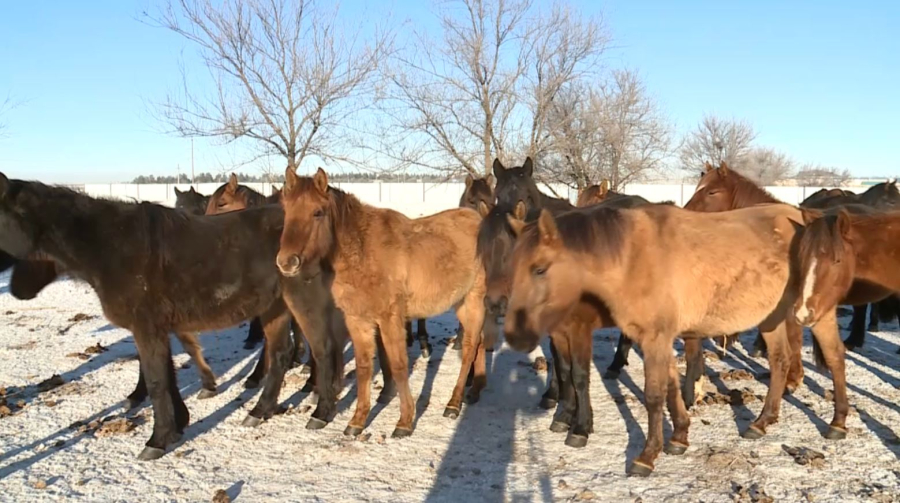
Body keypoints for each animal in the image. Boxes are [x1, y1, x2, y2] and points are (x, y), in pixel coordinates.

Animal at [0, 173, 312, 460]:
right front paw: (179, 423)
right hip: (275, 308)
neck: (113, 247)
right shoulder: (159, 329)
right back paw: (262, 409)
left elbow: (156, 380)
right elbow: (168, 374)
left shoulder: (147, 329)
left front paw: (158, 439)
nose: (18, 291)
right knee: (281, 352)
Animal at [278, 168, 488, 438]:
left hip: (474, 301)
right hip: (461, 303)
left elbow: (398, 366)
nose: (286, 262)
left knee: (470, 346)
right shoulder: (357, 320)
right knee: (479, 342)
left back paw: (453, 403)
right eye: (286, 210)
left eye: (317, 212)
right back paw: (475, 390)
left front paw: (405, 421)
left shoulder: (390, 319)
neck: (362, 251)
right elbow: (364, 366)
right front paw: (357, 420)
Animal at [506, 204, 852, 476]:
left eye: (540, 269)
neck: (631, 259)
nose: (514, 336)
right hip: (772, 317)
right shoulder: (657, 339)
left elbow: (654, 395)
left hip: (816, 312)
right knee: (780, 360)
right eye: (513, 267)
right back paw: (762, 422)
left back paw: (837, 423)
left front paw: (646, 456)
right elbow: (673, 387)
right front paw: (679, 438)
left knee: (835, 357)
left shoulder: (653, 338)